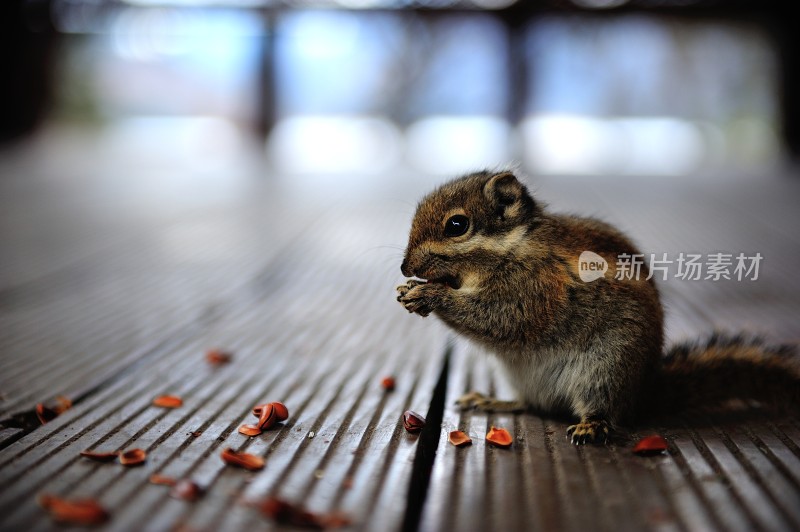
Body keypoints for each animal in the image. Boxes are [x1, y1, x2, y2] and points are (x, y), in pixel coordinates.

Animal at [396, 170, 800, 444]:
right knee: (532, 405)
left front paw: (429, 295)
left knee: (604, 408)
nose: (404, 267)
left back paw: (593, 425)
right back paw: (497, 401)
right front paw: (409, 289)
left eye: (457, 225)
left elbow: (501, 319)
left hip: (606, 369)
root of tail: (643, 392)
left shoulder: (535, 289)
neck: (513, 245)